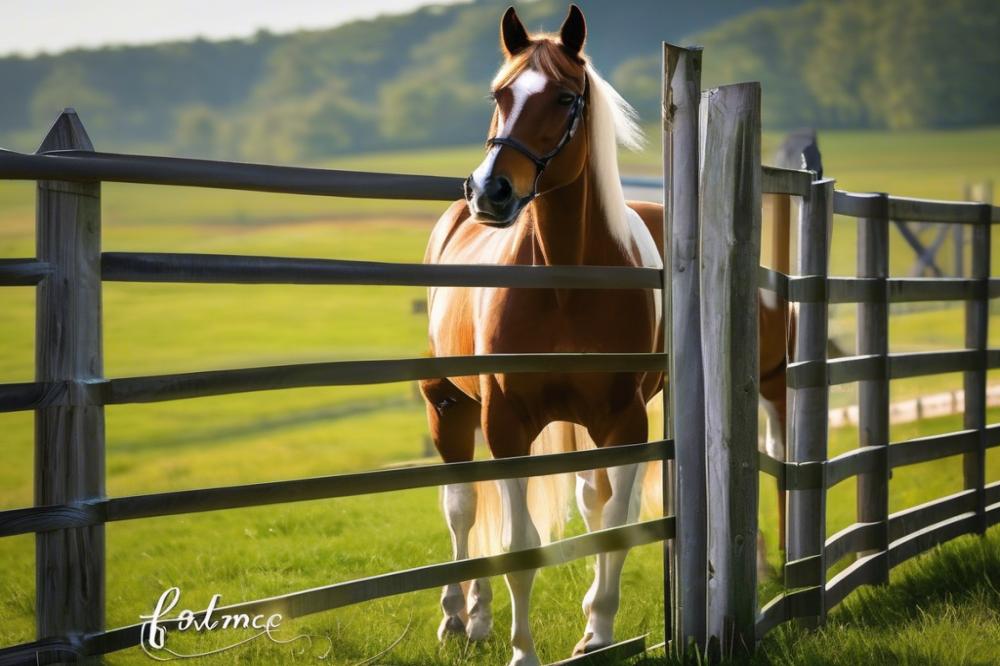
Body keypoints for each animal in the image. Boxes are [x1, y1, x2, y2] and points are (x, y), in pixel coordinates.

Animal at [418, 6, 792, 664]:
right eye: (499, 94)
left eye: (565, 97)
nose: (490, 191)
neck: (564, 282)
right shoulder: (506, 424)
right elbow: (519, 544)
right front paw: (523, 651)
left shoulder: (623, 423)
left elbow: (612, 529)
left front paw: (596, 632)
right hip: (450, 406)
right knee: (462, 507)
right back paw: (459, 618)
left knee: (583, 505)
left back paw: (485, 616)